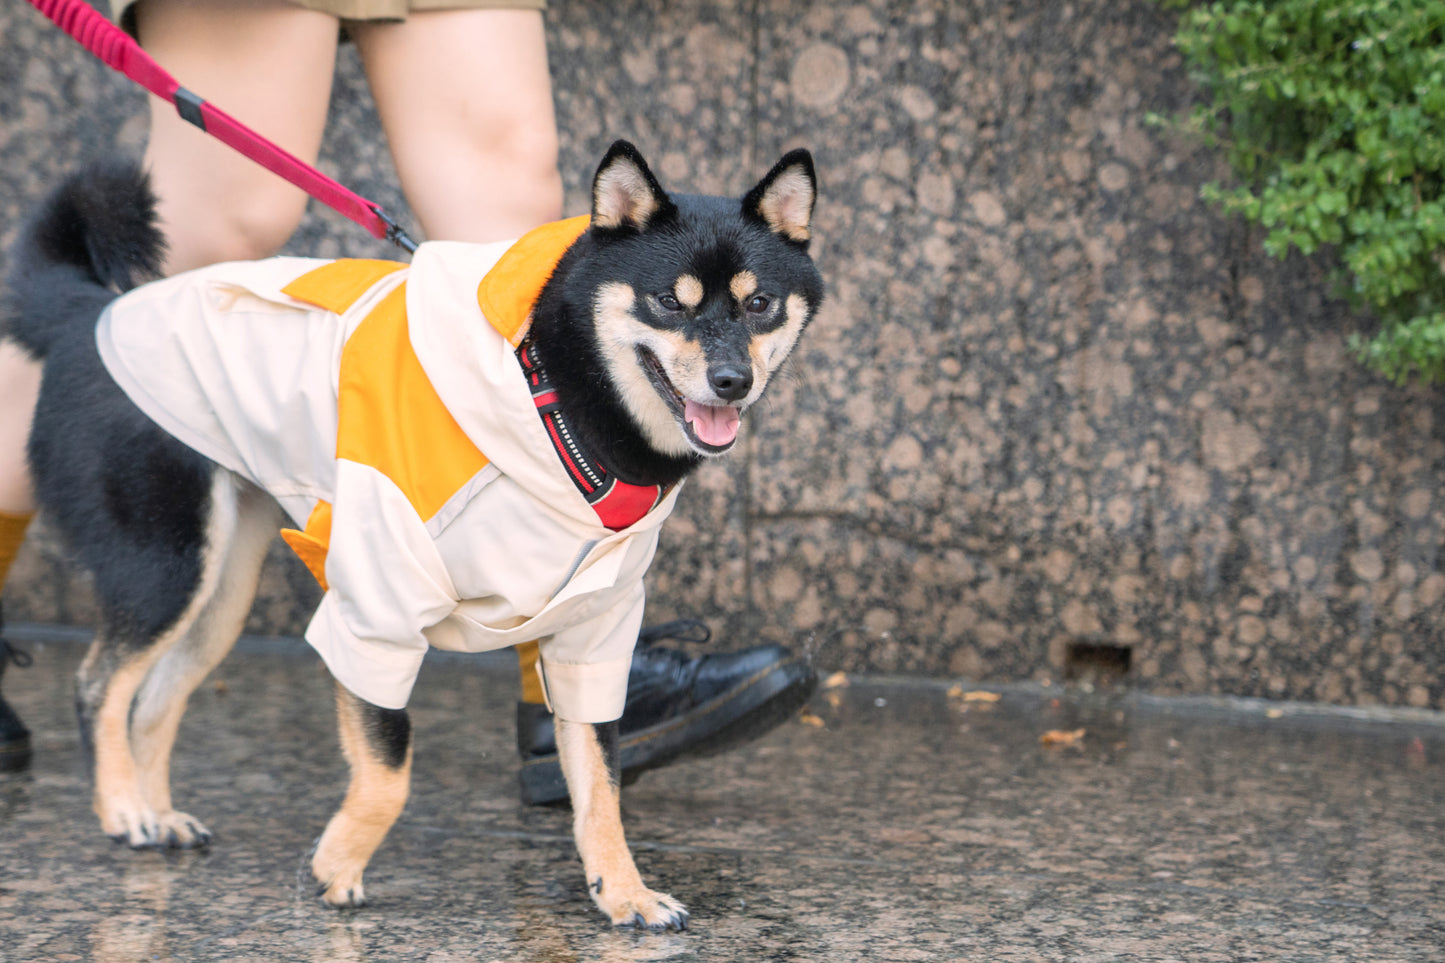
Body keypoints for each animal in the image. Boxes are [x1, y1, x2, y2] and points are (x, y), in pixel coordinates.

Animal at [0, 138, 820, 925]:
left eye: (759, 304)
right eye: (667, 302)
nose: (731, 382)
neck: (550, 398)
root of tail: (87, 315)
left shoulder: (594, 629)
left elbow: (599, 784)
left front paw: (622, 892)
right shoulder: (375, 611)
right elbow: (390, 769)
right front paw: (334, 869)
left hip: (219, 589)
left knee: (154, 698)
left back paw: (158, 809)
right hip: (165, 564)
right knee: (98, 685)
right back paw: (124, 808)